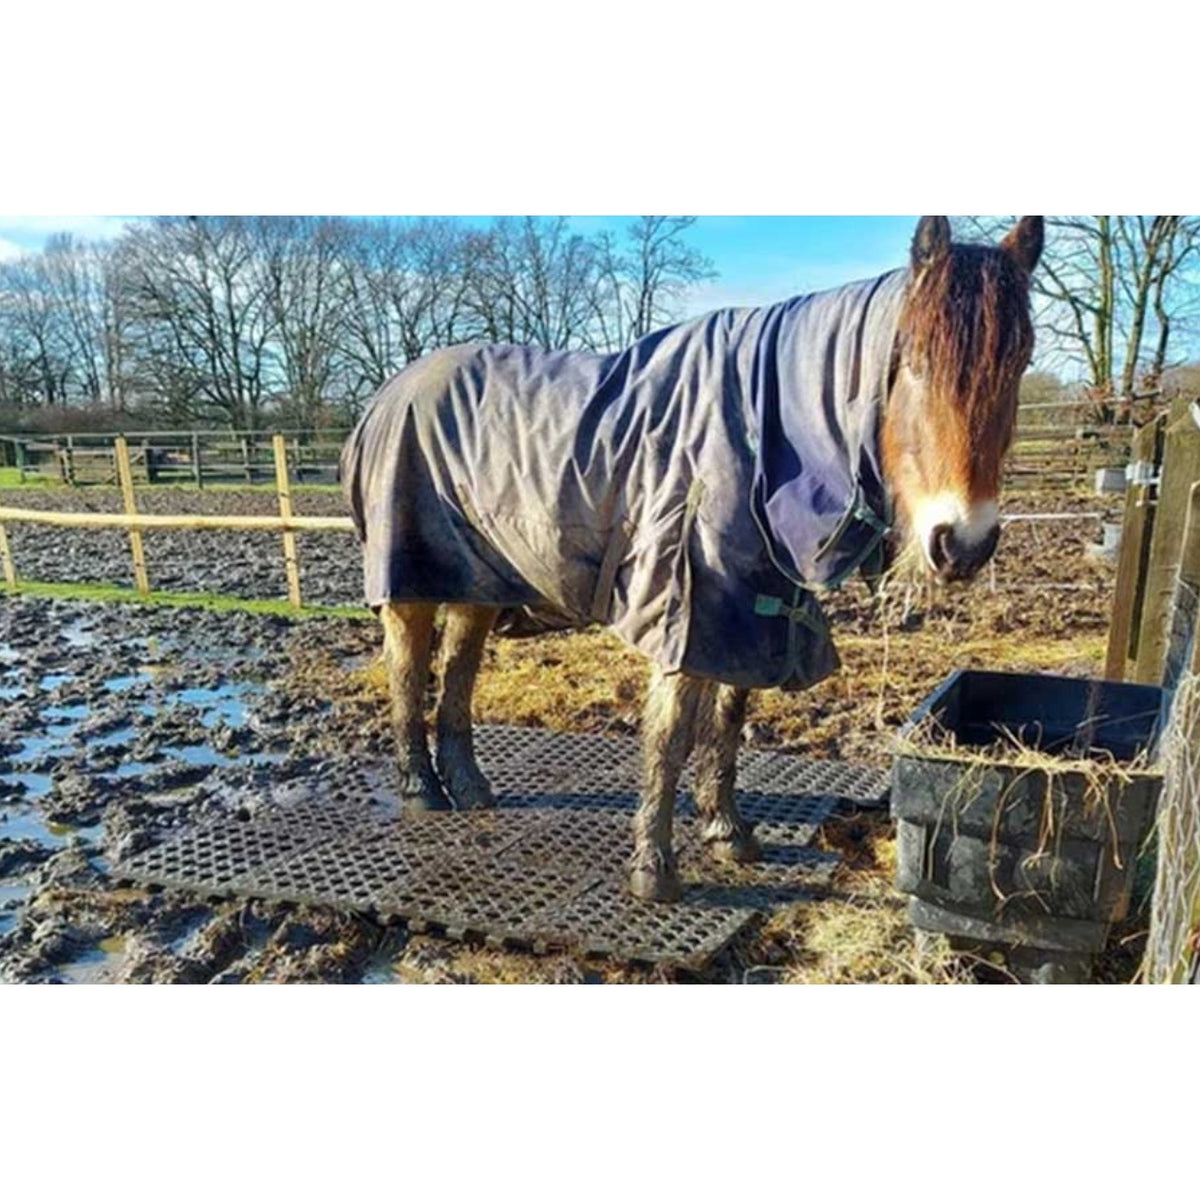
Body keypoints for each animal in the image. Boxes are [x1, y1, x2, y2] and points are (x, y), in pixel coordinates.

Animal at [341, 215, 1043, 903]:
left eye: (1020, 364)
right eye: (915, 362)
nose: (963, 542)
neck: (759, 434)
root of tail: (387, 395)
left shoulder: (753, 610)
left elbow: (728, 720)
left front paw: (727, 831)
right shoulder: (687, 603)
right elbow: (671, 734)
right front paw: (655, 870)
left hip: (477, 581)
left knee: (459, 670)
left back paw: (468, 786)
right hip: (410, 581)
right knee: (407, 670)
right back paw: (422, 791)